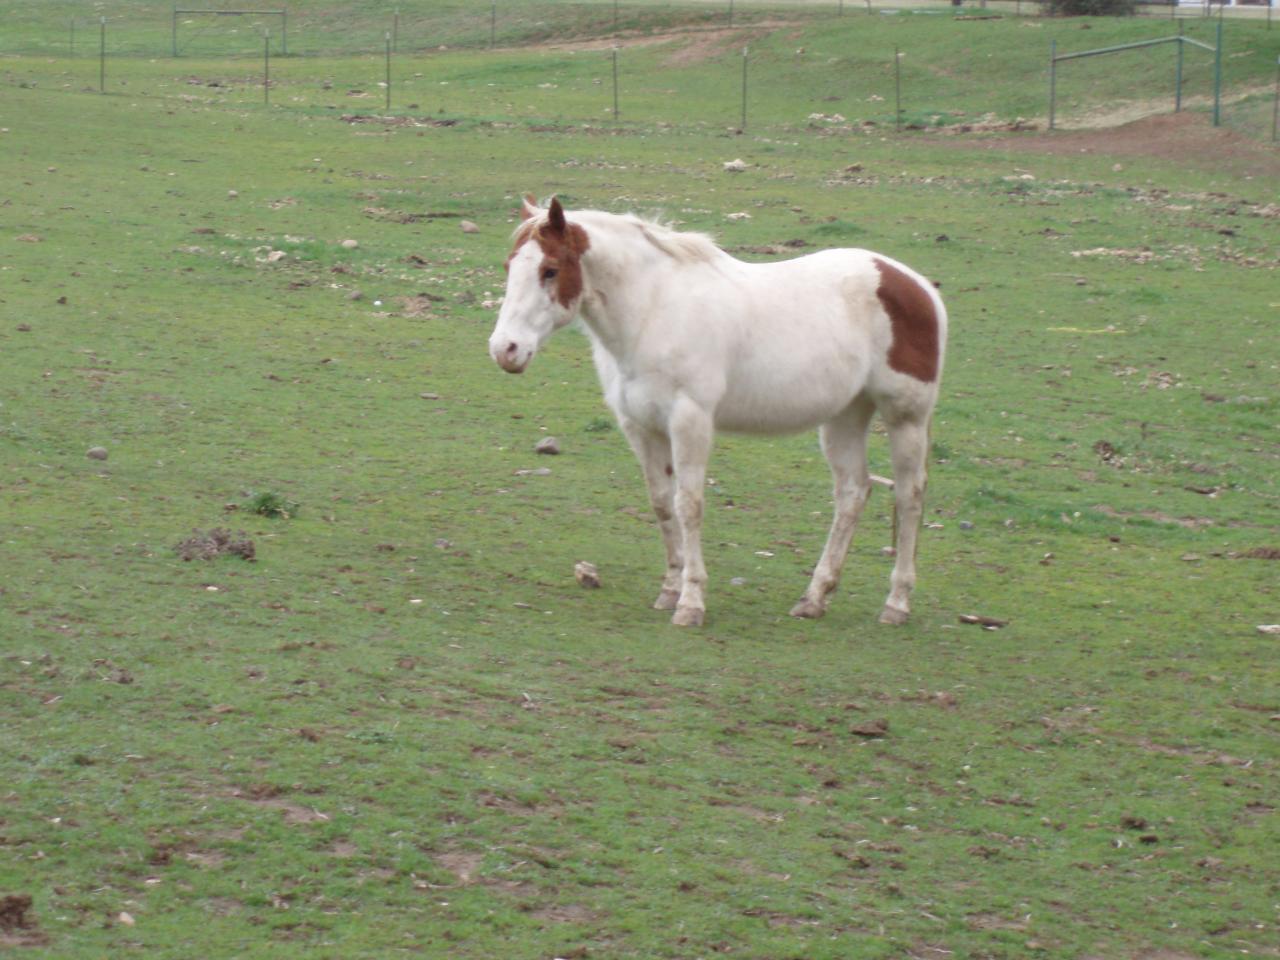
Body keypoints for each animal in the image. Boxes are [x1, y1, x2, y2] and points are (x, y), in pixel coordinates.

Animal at [489, 196, 947, 628]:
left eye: (549, 270)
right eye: (510, 265)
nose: (505, 349)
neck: (653, 310)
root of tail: (918, 286)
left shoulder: (689, 421)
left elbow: (688, 505)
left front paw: (691, 602)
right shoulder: (641, 427)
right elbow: (662, 504)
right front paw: (670, 589)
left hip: (905, 418)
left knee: (909, 496)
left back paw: (896, 603)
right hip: (845, 417)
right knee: (853, 493)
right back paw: (814, 598)